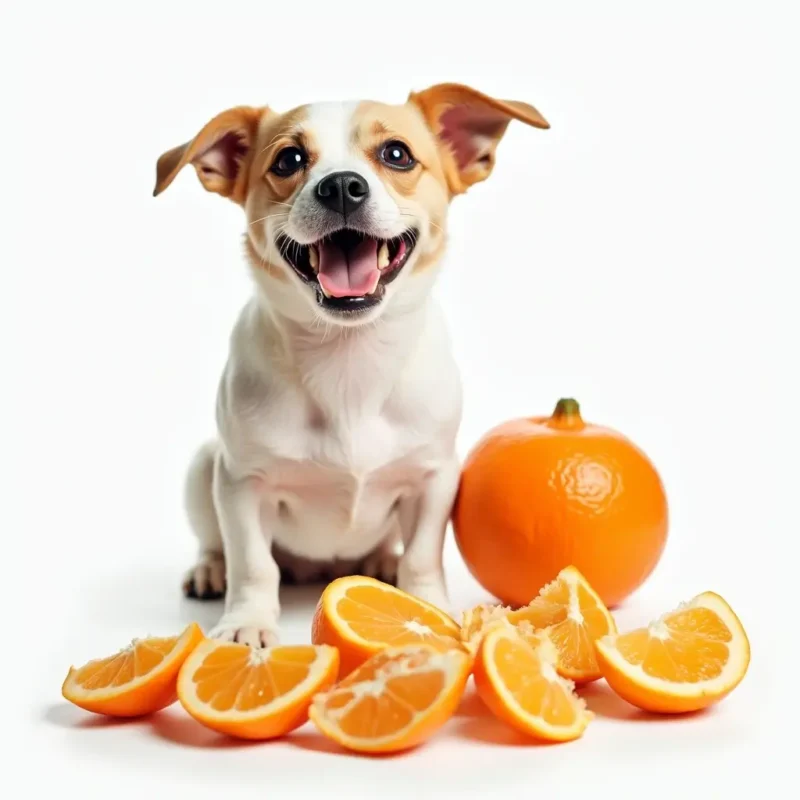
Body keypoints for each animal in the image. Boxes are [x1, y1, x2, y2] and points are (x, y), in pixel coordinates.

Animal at [153, 83, 548, 644]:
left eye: (397, 154)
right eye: (289, 160)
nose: (341, 186)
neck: (348, 359)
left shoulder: (435, 477)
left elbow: (423, 556)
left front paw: (428, 606)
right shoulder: (241, 483)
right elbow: (253, 563)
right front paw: (247, 621)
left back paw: (381, 561)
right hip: (205, 465)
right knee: (219, 543)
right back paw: (210, 570)